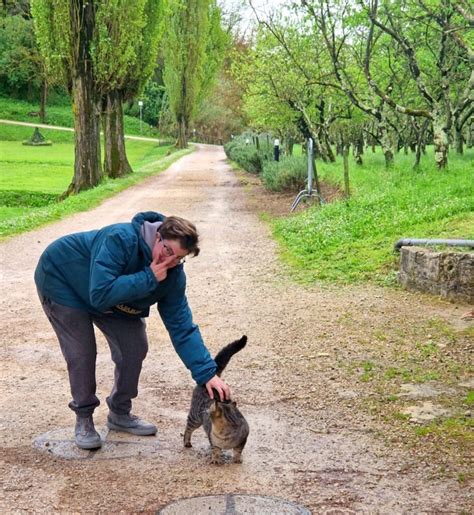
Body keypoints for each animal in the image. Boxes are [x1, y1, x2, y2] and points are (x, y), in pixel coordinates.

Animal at [183, 336, 250, 466]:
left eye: (209, 409)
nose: (204, 410)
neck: (224, 436)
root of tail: (211, 378)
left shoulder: (243, 440)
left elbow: (238, 451)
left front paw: (237, 458)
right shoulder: (213, 441)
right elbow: (216, 450)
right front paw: (216, 459)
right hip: (195, 418)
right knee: (188, 429)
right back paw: (186, 442)